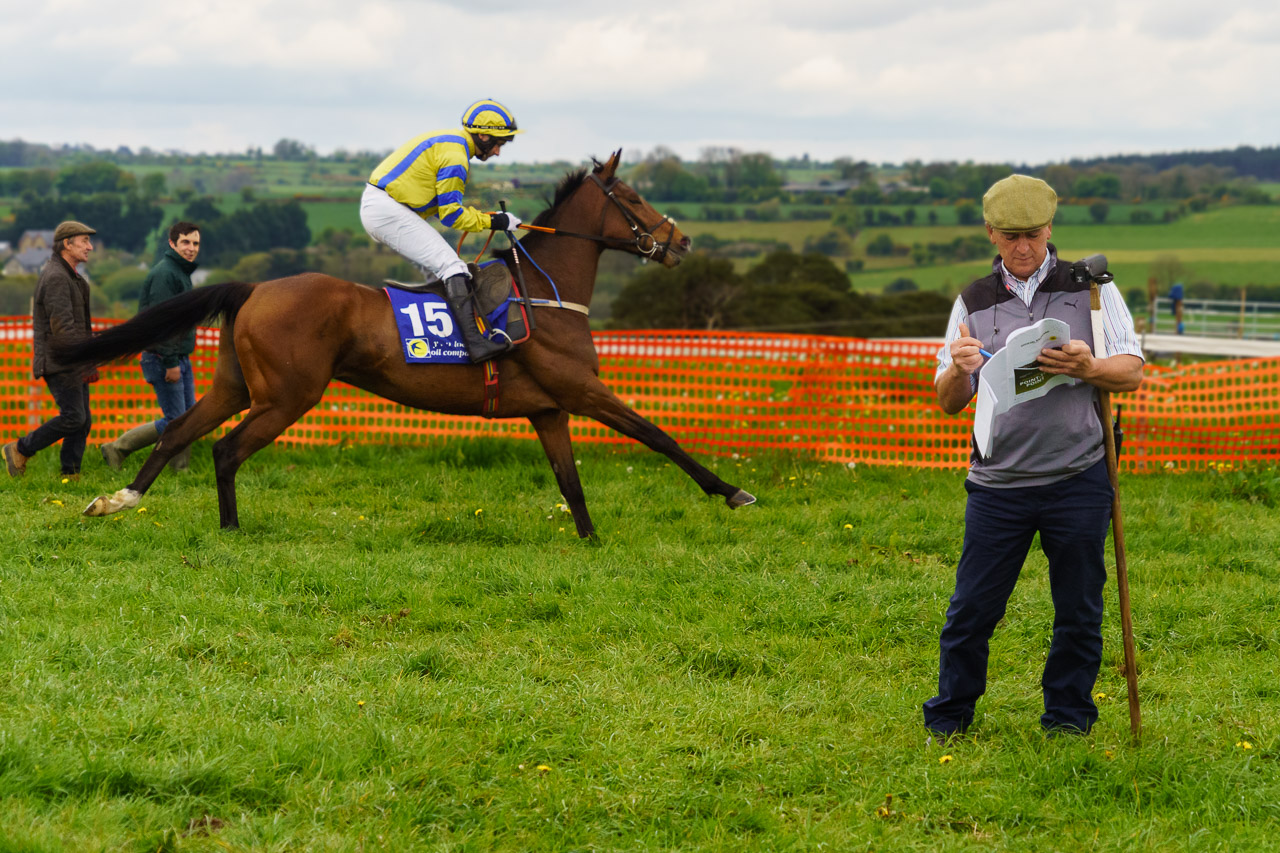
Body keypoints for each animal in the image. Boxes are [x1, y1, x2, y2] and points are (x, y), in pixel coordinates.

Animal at [58, 151, 755, 539]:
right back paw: (229, 529)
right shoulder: (582, 391)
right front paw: (732, 492)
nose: (682, 241)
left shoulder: (550, 410)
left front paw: (589, 540)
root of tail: (256, 286)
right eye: (632, 197)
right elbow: (659, 437)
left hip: (235, 385)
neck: (545, 294)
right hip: (287, 396)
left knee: (181, 433)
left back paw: (118, 500)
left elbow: (571, 482)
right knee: (226, 450)